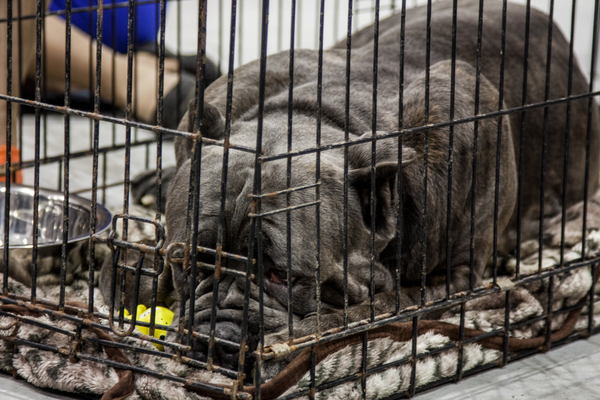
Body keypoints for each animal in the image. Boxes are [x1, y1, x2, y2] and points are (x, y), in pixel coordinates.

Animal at [104, 0, 600, 374]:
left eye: (285, 277)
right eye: (188, 261)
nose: (218, 339)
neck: (322, 114)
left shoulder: (451, 280)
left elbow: (364, 312)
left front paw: (294, 337)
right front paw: (133, 269)